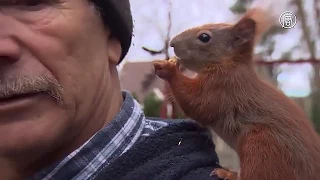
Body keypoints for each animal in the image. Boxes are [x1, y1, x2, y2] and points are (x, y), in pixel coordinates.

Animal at [152, 1, 320, 180]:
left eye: (204, 37)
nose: (172, 43)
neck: (229, 63)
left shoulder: (223, 85)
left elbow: (198, 103)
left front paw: (169, 69)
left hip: (261, 146)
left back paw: (228, 173)